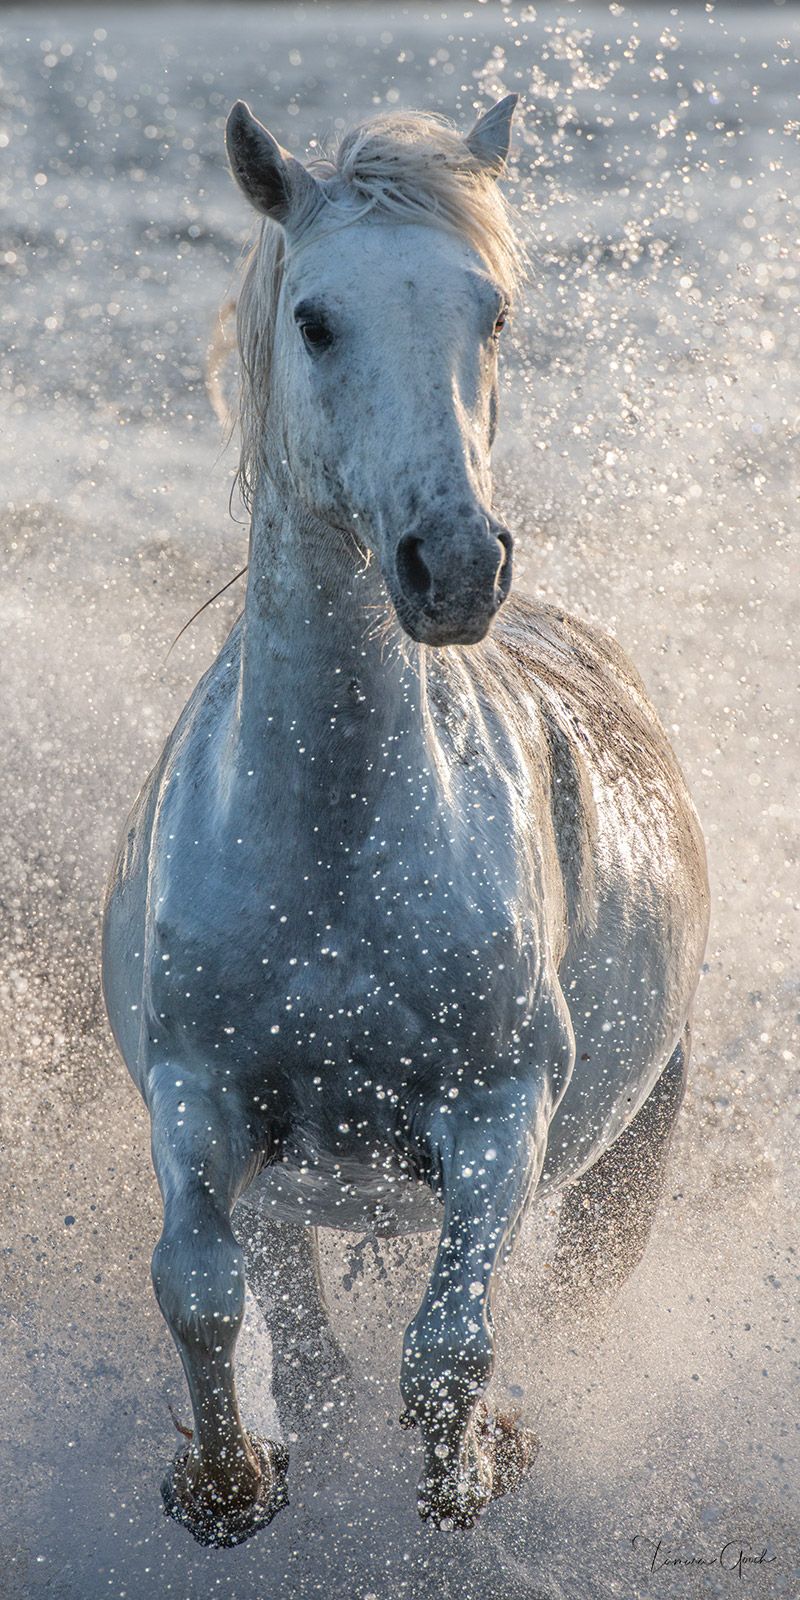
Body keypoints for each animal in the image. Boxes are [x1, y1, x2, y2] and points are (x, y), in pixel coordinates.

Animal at [101, 95, 709, 1546]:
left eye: (491, 313)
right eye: (317, 318)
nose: (456, 565)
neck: (333, 851)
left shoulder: (498, 1111)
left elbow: (448, 1348)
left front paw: (472, 1468)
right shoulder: (199, 1095)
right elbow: (198, 1286)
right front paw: (226, 1484)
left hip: (634, 1135)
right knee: (294, 1314)